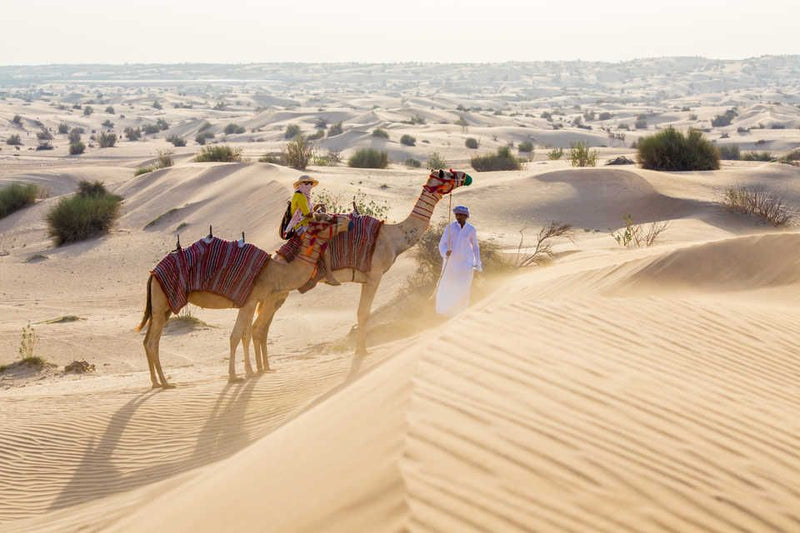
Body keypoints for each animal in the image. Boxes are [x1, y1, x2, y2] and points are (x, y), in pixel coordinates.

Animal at [136, 213, 350, 388]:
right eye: (325, 219)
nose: (346, 220)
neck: (274, 272)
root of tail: (152, 274)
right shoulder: (250, 301)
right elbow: (236, 336)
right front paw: (234, 376)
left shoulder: (251, 302)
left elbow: (245, 335)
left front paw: (250, 371)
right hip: (161, 303)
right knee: (152, 342)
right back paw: (164, 383)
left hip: (163, 307)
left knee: (149, 340)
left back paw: (156, 381)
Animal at [251, 169, 471, 375]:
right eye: (448, 174)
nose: (466, 176)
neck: (392, 238)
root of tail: (277, 256)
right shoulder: (375, 275)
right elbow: (364, 313)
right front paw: (362, 352)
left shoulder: (366, 279)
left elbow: (360, 313)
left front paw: (361, 350)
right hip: (277, 291)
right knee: (259, 326)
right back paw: (259, 370)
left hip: (281, 293)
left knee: (264, 326)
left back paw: (265, 367)